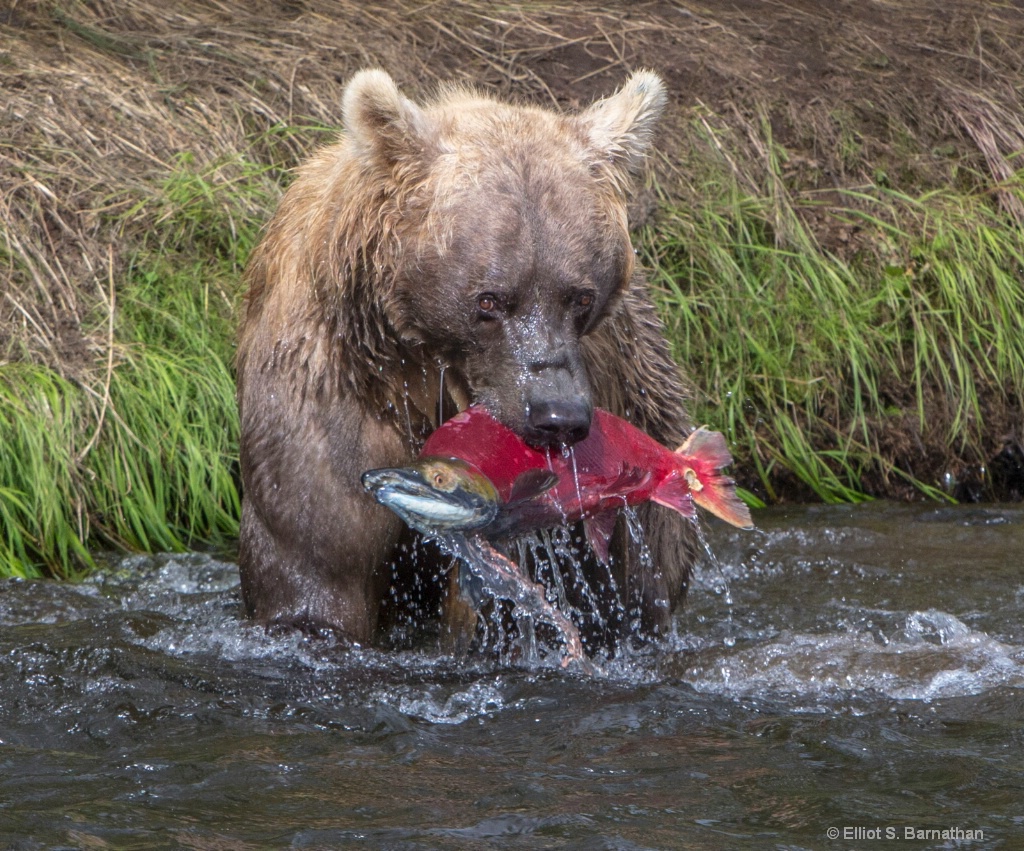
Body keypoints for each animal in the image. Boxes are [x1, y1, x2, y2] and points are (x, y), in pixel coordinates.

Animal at [234, 69, 696, 647]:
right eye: (490, 300)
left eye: (580, 297)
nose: (558, 416)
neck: (420, 370)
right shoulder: (326, 388)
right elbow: (317, 561)